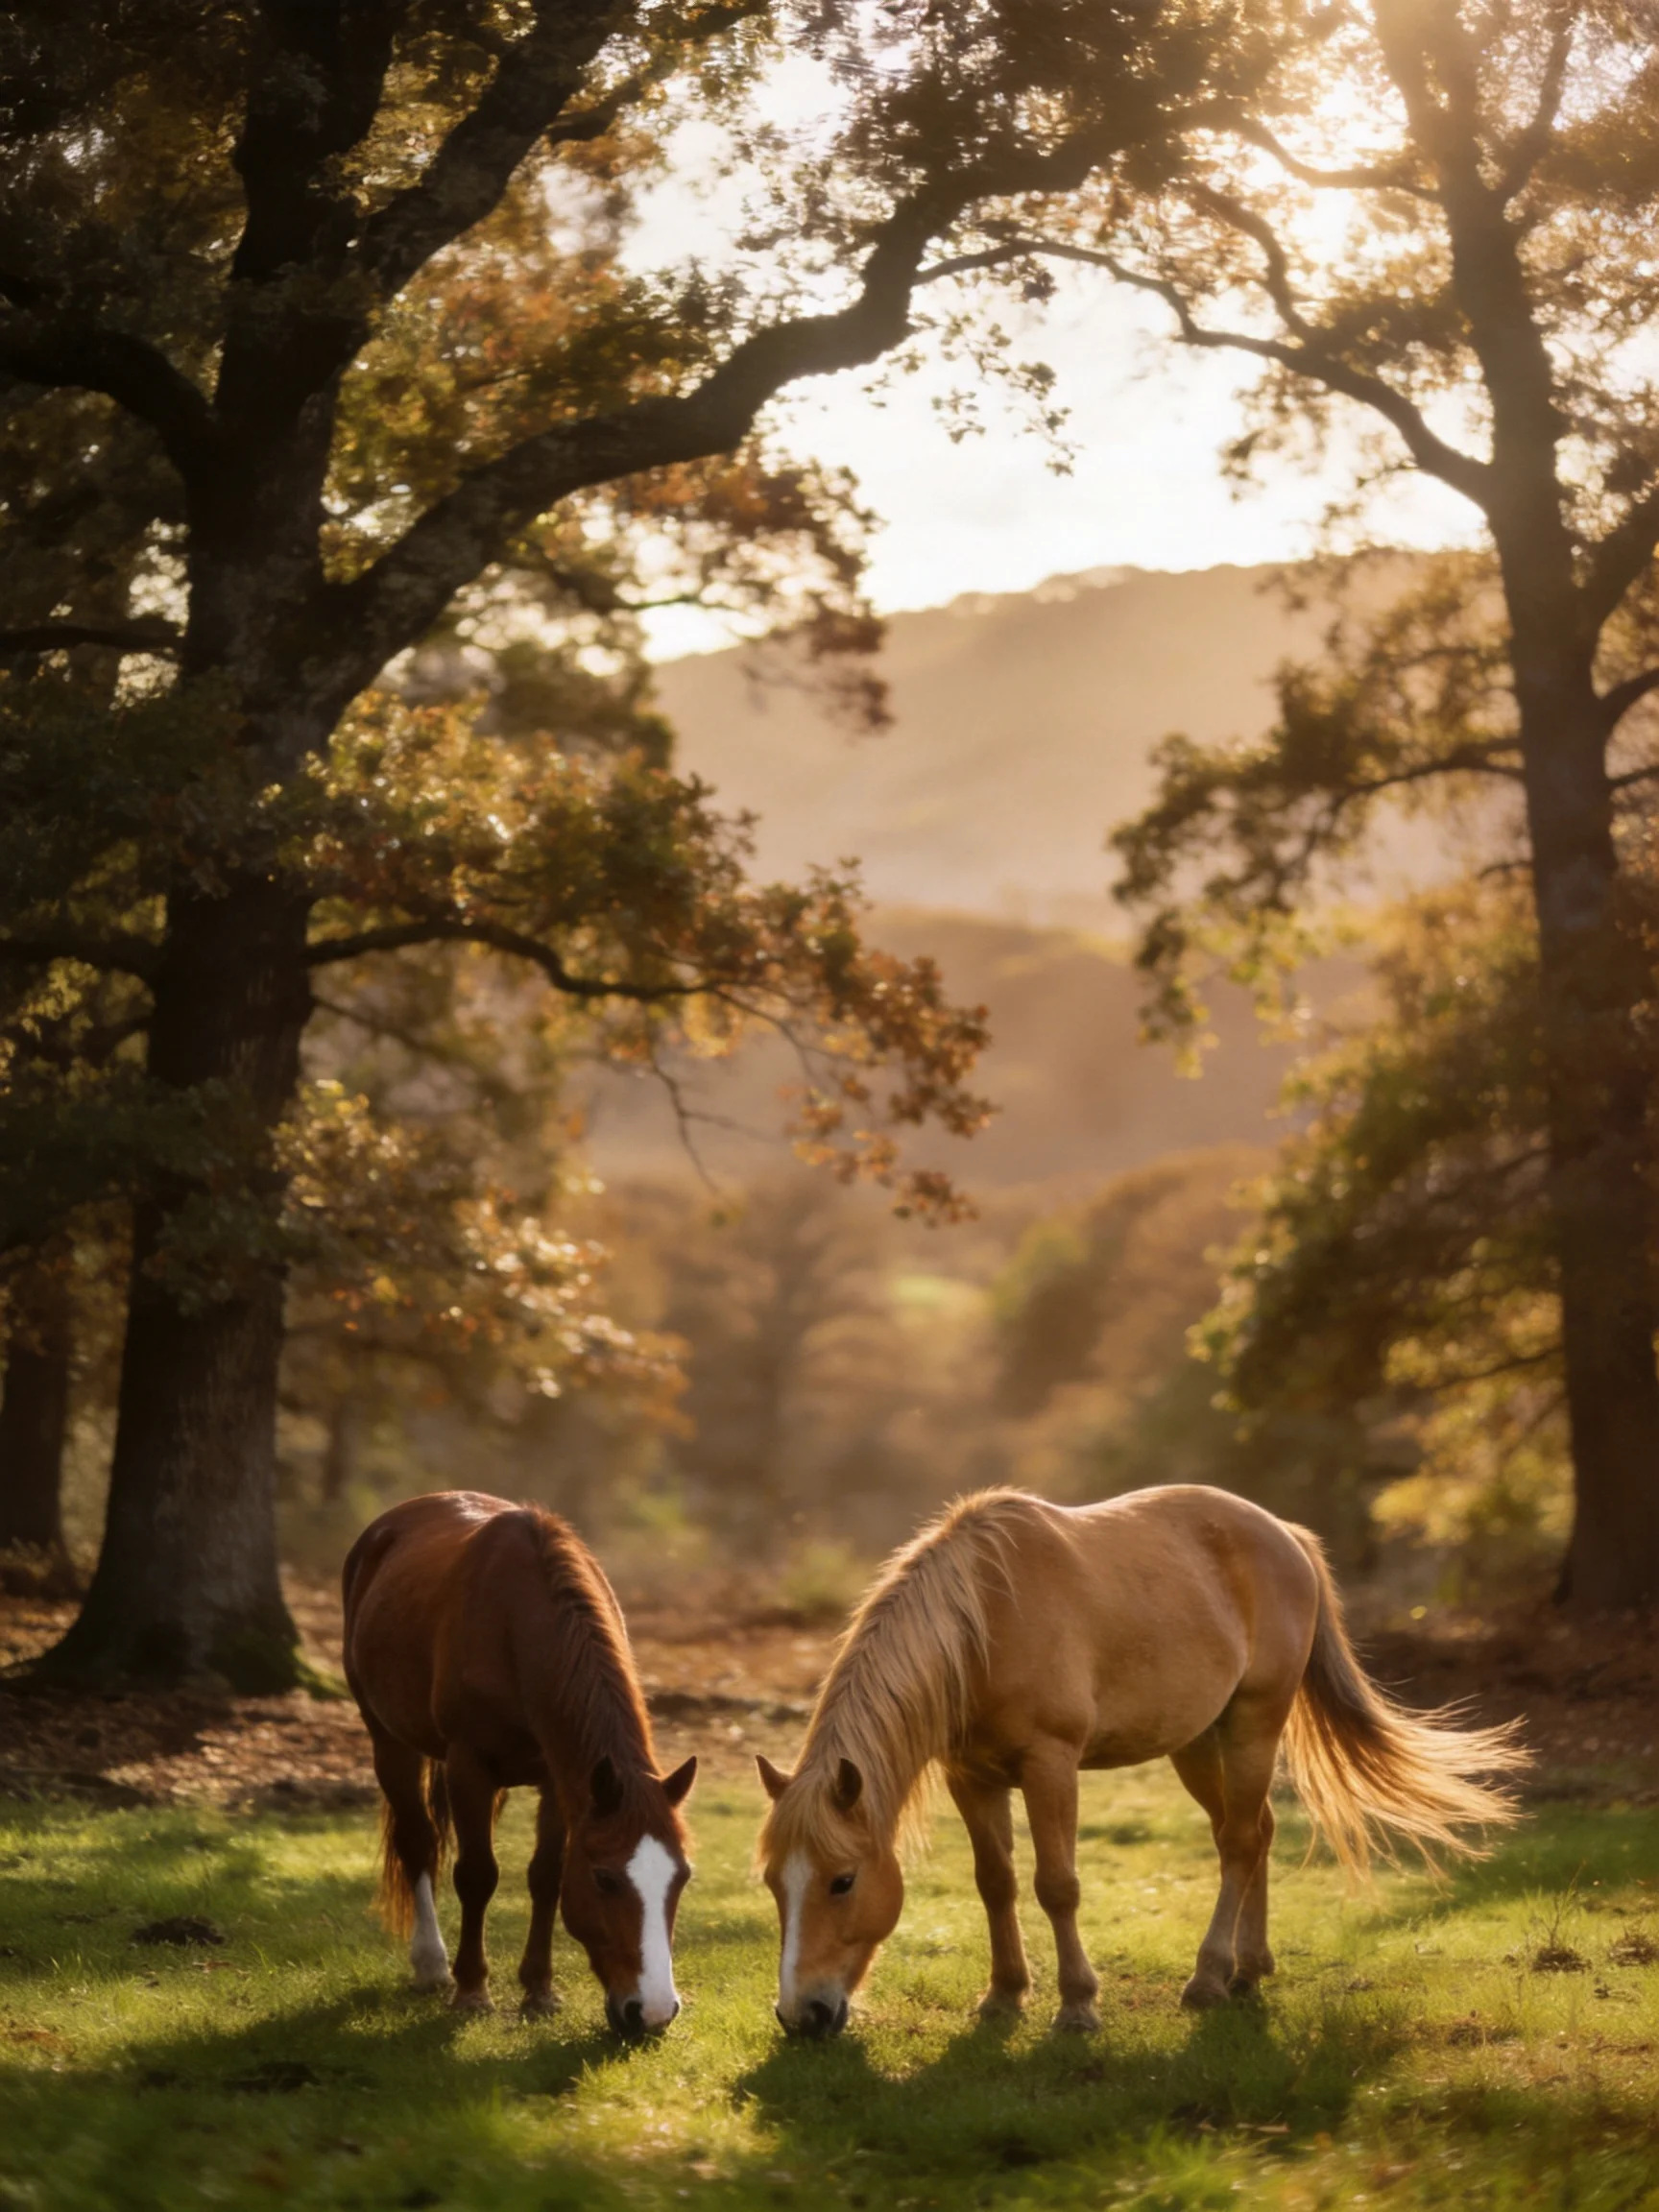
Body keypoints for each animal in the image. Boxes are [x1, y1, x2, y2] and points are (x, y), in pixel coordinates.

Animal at [343, 1490, 696, 2035]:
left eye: (682, 1877)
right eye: (605, 1880)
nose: (654, 2012)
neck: (518, 1623)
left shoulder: (561, 1781)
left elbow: (546, 1876)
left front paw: (539, 1989)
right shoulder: (469, 1767)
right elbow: (477, 1874)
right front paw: (472, 1990)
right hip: (390, 1742)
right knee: (418, 1842)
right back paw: (431, 1964)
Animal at [756, 1484, 1525, 2037]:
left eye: (843, 1881)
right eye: (772, 1883)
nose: (800, 2017)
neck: (985, 1624)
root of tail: (1287, 1535)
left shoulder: (1050, 1765)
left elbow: (1056, 1885)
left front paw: (1077, 2006)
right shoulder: (970, 1777)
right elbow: (995, 1883)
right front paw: (1003, 1996)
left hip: (1254, 1725)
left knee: (1240, 1843)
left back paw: (1209, 1979)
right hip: (1197, 1744)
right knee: (1254, 1834)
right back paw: (1250, 1969)